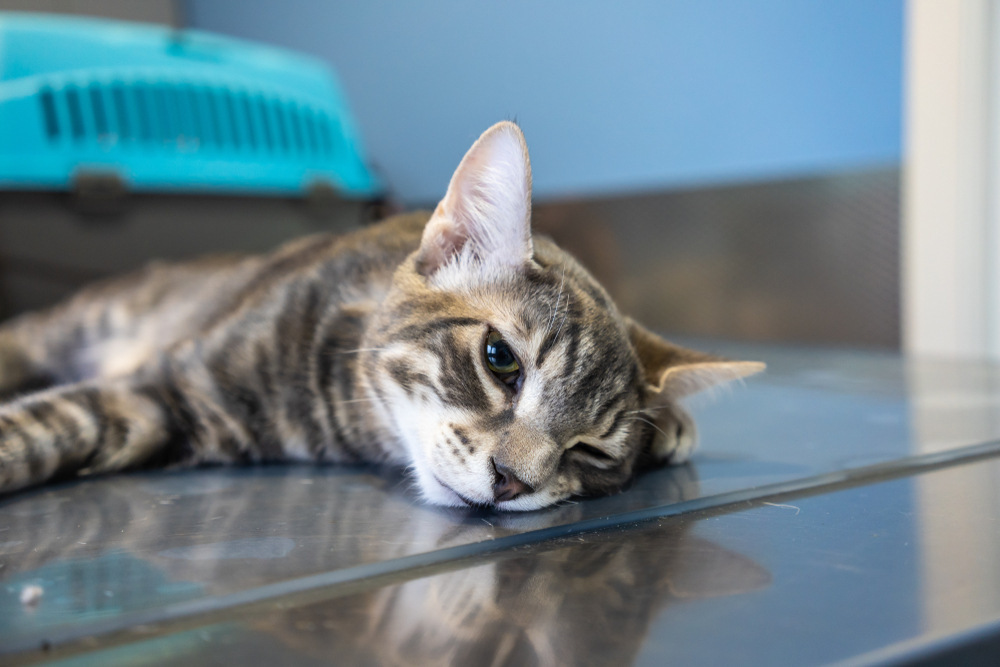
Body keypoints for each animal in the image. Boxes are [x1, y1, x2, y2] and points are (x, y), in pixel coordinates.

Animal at [0, 122, 760, 512]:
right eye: (501, 361)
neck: (344, 423)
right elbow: (40, 427)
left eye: (593, 450)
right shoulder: (171, 387)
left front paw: (673, 426)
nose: (512, 483)